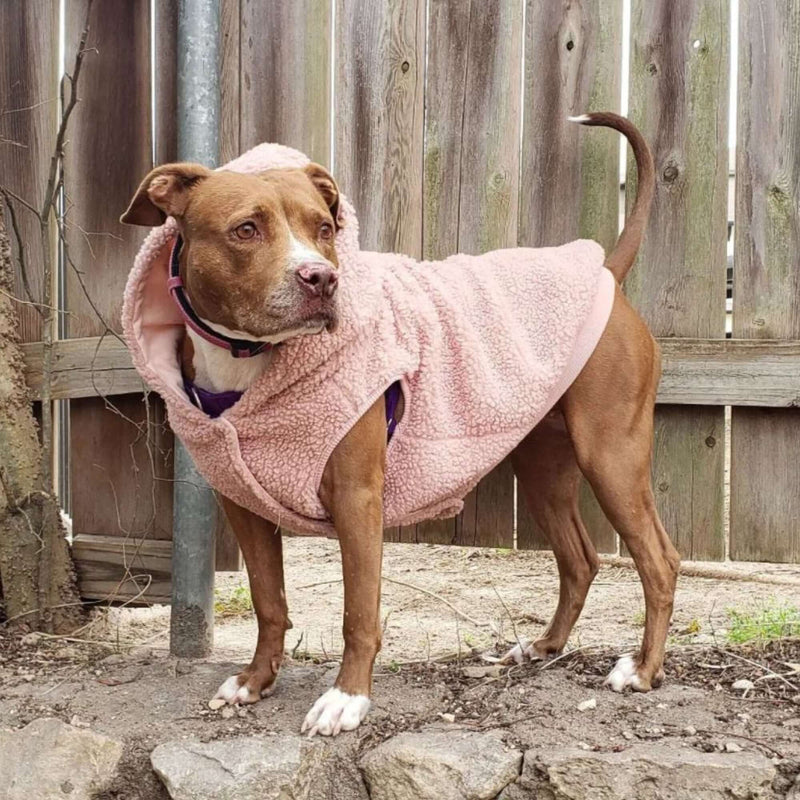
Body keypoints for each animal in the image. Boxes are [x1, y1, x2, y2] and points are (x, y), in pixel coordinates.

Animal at [122, 112, 680, 736]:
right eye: (245, 229)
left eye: (324, 228)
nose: (321, 278)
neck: (248, 360)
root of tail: (606, 272)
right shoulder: (242, 502)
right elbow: (269, 601)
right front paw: (255, 680)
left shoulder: (357, 497)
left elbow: (358, 611)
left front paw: (346, 698)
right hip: (543, 467)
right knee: (579, 560)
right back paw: (544, 646)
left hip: (611, 455)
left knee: (659, 561)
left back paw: (643, 669)